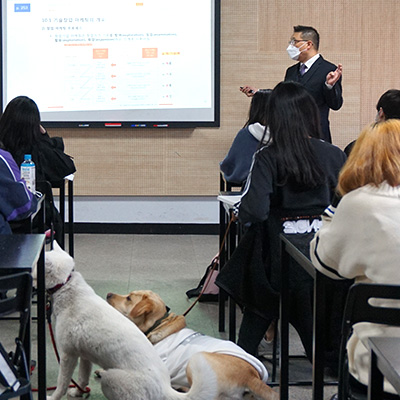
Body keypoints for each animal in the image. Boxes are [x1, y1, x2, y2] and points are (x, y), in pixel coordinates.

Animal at [43, 241, 217, 400]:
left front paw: (53, 397)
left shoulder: (68, 355)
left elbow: (62, 383)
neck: (65, 284)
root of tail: (166, 388)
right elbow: (82, 378)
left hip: (110, 379)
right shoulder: (85, 356)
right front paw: (78, 392)